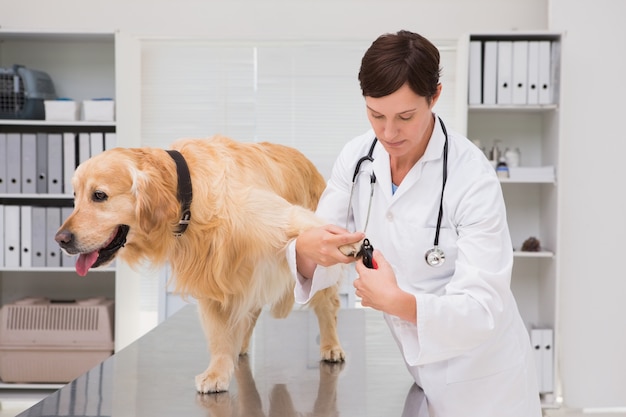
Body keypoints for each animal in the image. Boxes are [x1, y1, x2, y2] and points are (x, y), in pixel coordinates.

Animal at [53, 135, 344, 392]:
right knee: (250, 312)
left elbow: (310, 226)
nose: (61, 239)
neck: (188, 197)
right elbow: (218, 334)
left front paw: (348, 244)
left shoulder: (283, 217)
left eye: (99, 195)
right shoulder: (210, 279)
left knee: (326, 306)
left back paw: (331, 345)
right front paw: (217, 371)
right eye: (75, 196)